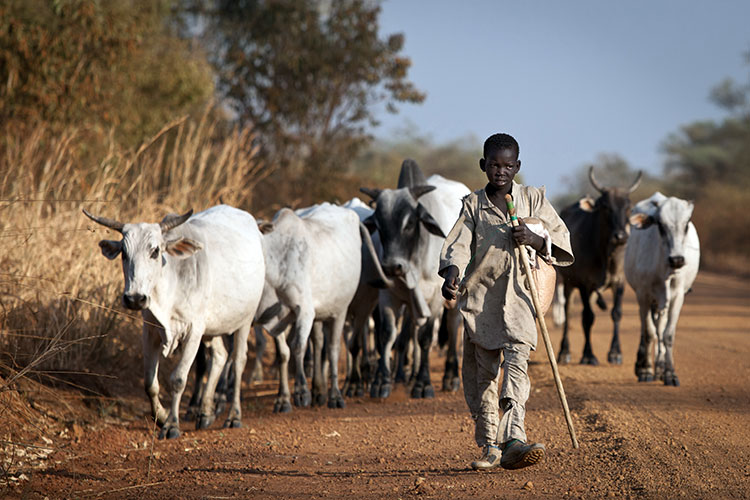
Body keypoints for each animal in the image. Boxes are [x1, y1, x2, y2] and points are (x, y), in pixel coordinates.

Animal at [556, 166, 644, 366]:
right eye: (605, 206)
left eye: (628, 207)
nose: (620, 236)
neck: (606, 254)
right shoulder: (584, 284)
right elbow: (588, 318)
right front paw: (589, 355)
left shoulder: (619, 282)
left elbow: (616, 313)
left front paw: (615, 353)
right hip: (568, 283)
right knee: (568, 312)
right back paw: (564, 352)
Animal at [624, 192, 704, 386]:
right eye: (660, 224)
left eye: (686, 224)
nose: (677, 259)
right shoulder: (643, 296)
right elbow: (649, 333)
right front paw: (645, 370)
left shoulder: (677, 298)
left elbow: (668, 335)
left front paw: (669, 373)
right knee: (650, 329)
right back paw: (644, 365)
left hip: (663, 303)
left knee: (661, 328)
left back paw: (660, 368)